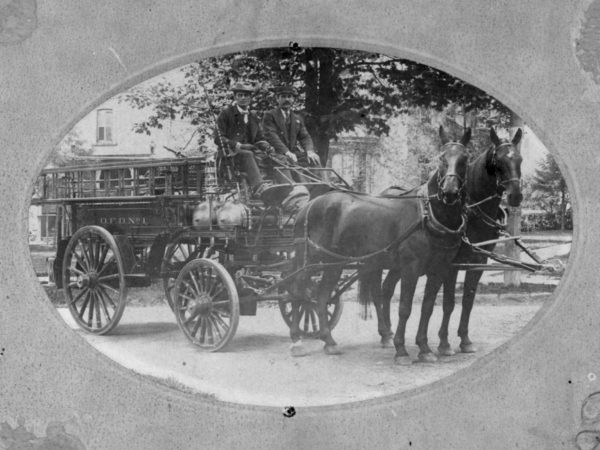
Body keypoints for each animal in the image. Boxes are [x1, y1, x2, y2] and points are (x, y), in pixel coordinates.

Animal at [288, 126, 472, 358]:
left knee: (320, 296)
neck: (429, 215)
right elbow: (405, 308)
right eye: (441, 157)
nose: (449, 192)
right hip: (310, 262)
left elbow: (428, 307)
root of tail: (308, 206)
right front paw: (401, 349)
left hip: (333, 264)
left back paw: (328, 341)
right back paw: (296, 340)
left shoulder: (440, 268)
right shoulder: (410, 268)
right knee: (298, 292)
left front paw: (424, 348)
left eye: (464, 158)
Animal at [380, 128, 524, 360]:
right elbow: (448, 303)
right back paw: (386, 334)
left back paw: (386, 333)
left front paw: (465, 340)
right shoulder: (451, 265)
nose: (516, 195)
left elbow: (467, 301)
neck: (471, 211)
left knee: (386, 288)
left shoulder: (476, 263)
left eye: (519, 159)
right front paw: (444, 343)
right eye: (499, 161)